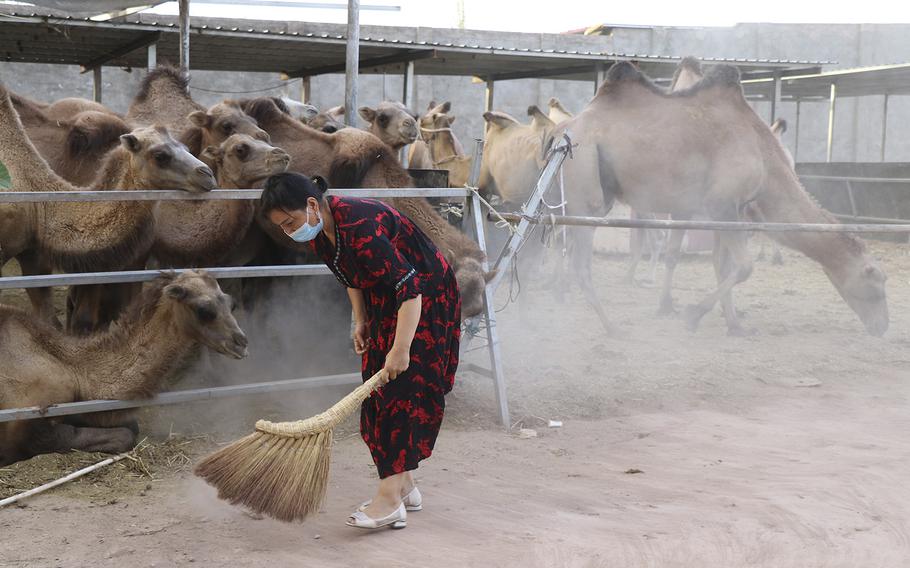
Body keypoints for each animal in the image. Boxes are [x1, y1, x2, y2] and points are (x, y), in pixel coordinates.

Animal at [0, 270, 249, 466]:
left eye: (231, 303)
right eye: (203, 309)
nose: (242, 342)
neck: (75, 369)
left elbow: (131, 425)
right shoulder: (29, 424)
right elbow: (125, 435)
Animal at [552, 62, 888, 338]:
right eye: (877, 287)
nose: (882, 326)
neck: (766, 159)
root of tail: (562, 130)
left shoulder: (732, 210)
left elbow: (724, 267)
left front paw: (735, 324)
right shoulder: (722, 203)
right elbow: (744, 267)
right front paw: (693, 315)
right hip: (585, 181)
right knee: (581, 263)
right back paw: (610, 326)